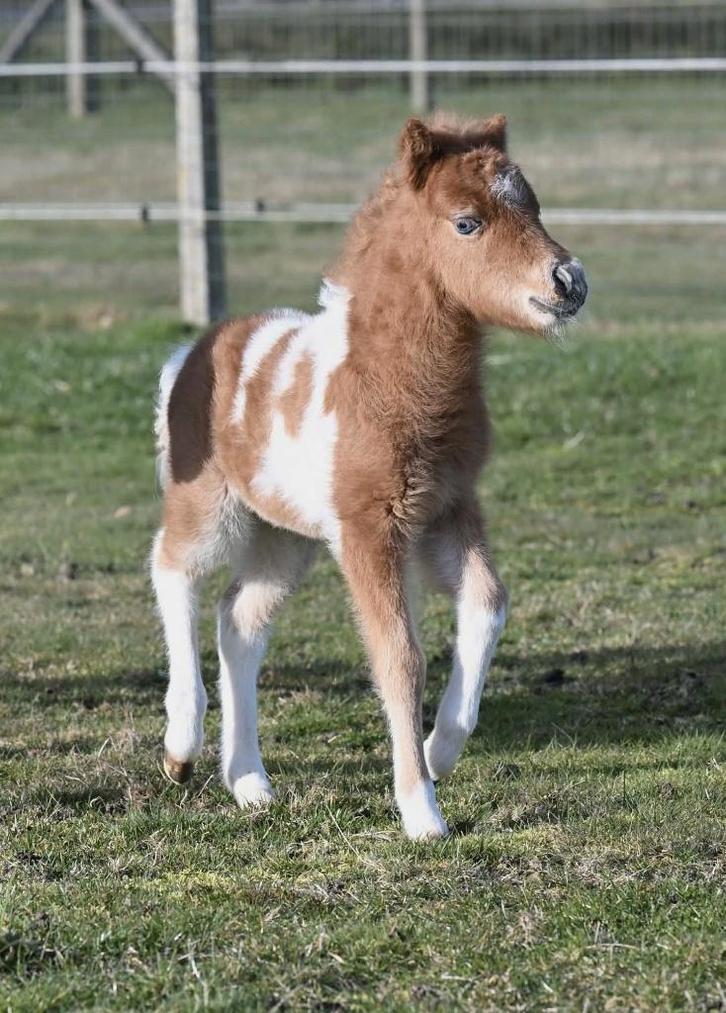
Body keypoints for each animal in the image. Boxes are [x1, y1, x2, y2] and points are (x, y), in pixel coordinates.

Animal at [151, 114, 588, 840]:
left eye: (534, 207)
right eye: (467, 222)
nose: (569, 281)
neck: (389, 381)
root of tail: (191, 352)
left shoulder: (448, 510)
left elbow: (488, 603)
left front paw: (441, 748)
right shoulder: (367, 527)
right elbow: (399, 656)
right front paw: (422, 811)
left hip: (284, 536)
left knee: (238, 619)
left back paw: (249, 781)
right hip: (208, 503)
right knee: (174, 571)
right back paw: (182, 744)